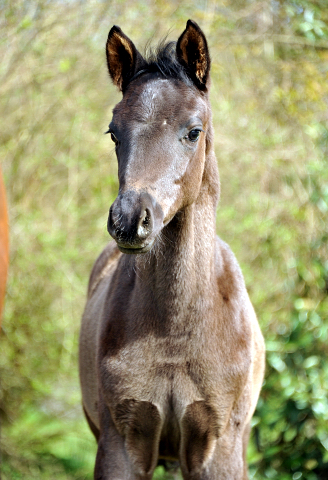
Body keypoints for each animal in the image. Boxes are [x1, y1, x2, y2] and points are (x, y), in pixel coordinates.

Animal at [79, 20, 264, 480]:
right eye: (114, 132)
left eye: (193, 131)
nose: (129, 220)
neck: (174, 333)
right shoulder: (121, 443)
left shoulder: (219, 448)